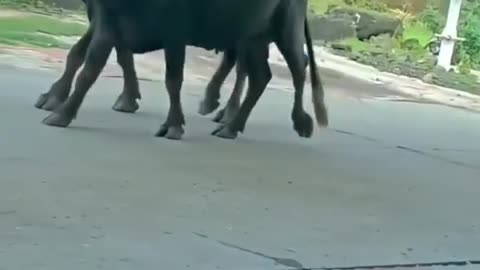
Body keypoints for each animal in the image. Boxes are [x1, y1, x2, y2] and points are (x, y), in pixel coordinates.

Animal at [39, 0, 328, 140]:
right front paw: (60, 113)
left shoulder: (175, 30)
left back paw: (300, 121)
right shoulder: (107, 20)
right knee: (259, 76)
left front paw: (173, 126)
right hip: (252, 37)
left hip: (285, 28)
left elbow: (173, 80)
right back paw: (230, 126)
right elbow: (90, 66)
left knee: (298, 67)